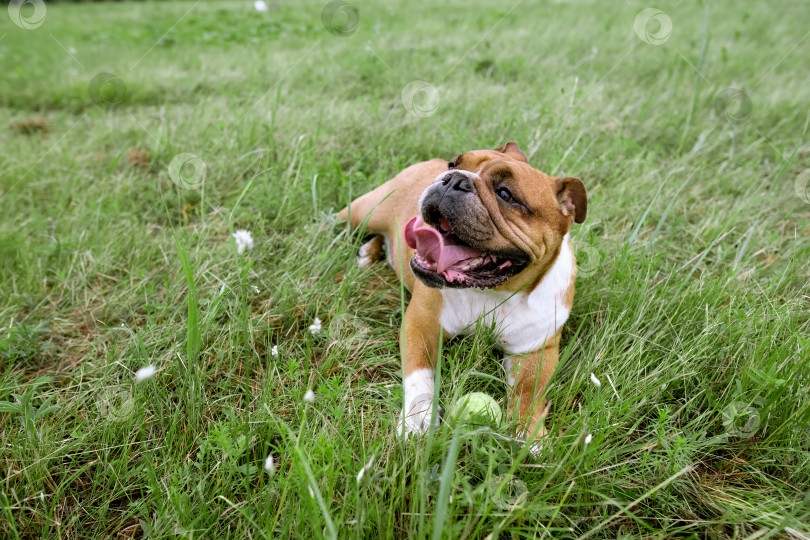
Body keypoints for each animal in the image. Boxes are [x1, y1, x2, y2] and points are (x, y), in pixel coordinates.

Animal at [338, 141, 584, 440]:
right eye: (453, 165)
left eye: (505, 194)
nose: (453, 179)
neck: (493, 293)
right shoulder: (421, 324)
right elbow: (420, 372)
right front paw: (418, 417)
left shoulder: (535, 350)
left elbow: (529, 393)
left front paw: (529, 435)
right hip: (363, 213)